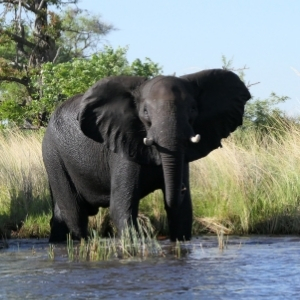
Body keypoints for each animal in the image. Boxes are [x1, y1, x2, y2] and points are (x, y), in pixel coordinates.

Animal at [42, 69, 251, 243]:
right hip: (53, 155)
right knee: (74, 213)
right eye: (145, 112)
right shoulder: (123, 148)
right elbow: (122, 207)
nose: (183, 188)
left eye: (192, 109)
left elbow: (182, 211)